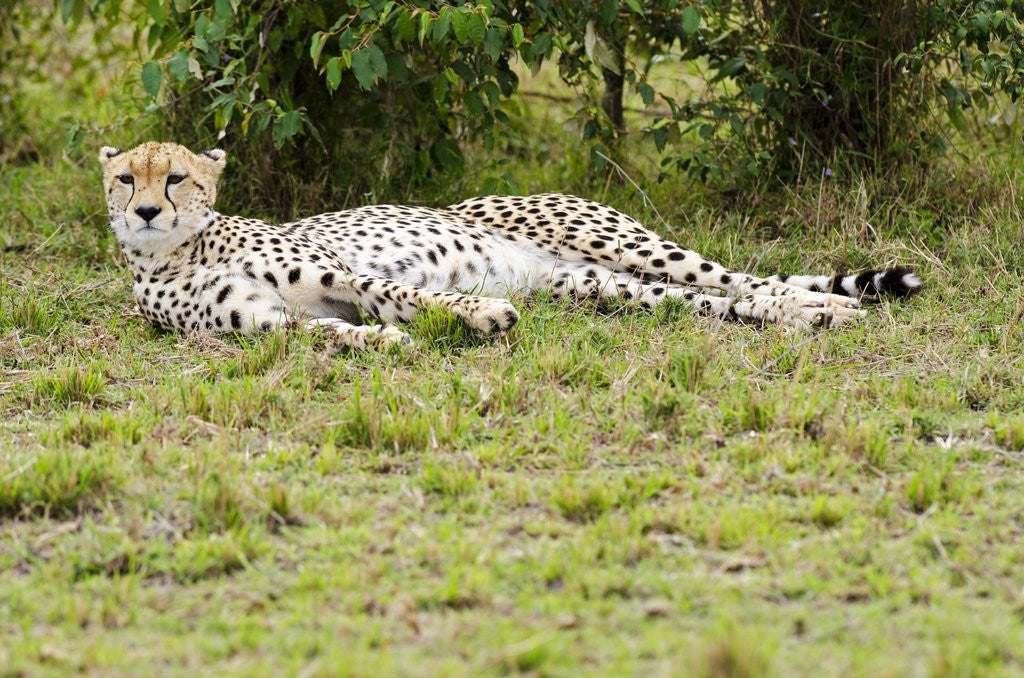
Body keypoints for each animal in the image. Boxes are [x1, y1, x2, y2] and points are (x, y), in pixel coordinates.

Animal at [98, 141, 922, 351]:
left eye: (176, 178)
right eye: (124, 177)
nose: (145, 211)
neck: (177, 251)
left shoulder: (344, 274)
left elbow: (404, 293)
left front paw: (479, 318)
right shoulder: (263, 321)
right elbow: (328, 331)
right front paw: (384, 344)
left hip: (627, 244)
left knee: (745, 279)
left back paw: (825, 310)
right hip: (603, 285)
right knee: (713, 301)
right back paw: (812, 316)